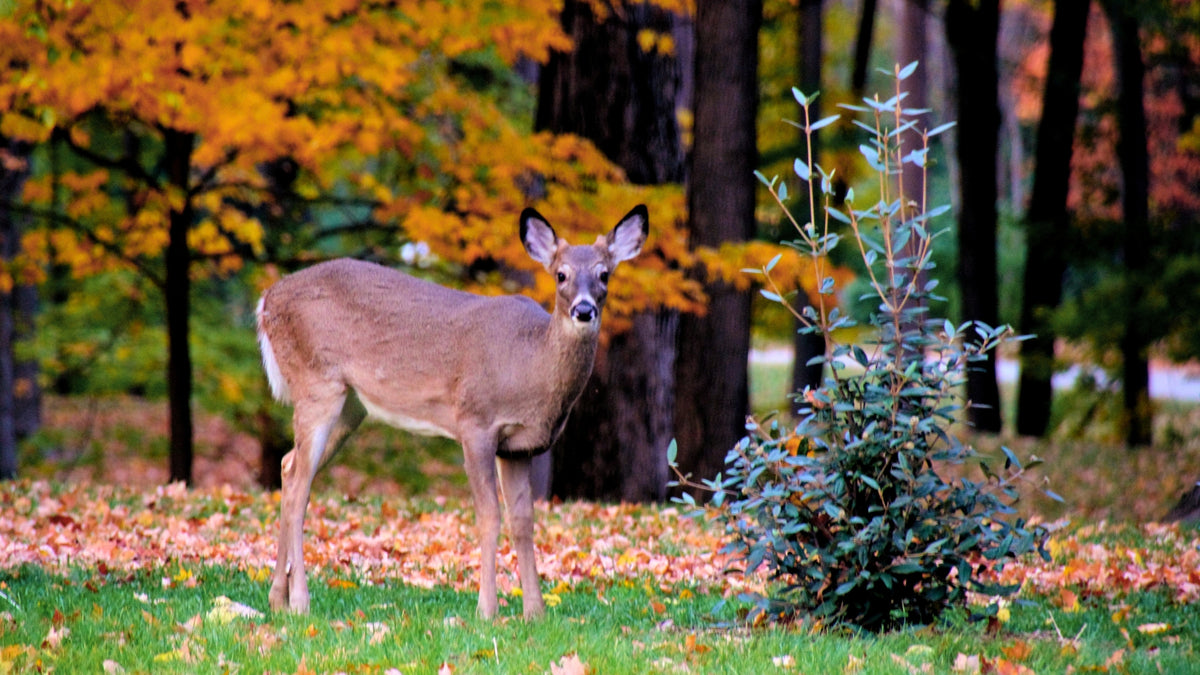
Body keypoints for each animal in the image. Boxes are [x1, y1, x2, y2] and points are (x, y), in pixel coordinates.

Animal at [255, 205, 648, 619]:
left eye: (605, 274)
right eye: (561, 274)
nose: (584, 310)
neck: (530, 366)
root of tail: (266, 300)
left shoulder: (519, 447)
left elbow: (523, 520)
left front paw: (535, 613)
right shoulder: (475, 421)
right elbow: (489, 516)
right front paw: (487, 610)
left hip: (351, 406)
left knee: (288, 466)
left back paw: (277, 599)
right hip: (317, 382)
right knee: (299, 484)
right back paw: (300, 601)